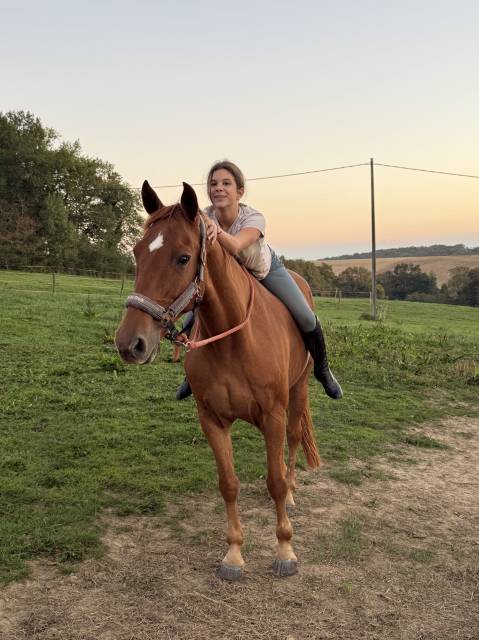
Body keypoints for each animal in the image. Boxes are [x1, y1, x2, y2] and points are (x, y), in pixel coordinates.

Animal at [115, 181, 320, 580]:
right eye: (136, 253)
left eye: (182, 258)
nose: (130, 343)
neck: (233, 340)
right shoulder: (210, 419)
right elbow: (228, 484)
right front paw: (234, 554)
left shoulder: (273, 416)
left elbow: (274, 482)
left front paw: (285, 550)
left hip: (297, 391)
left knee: (291, 445)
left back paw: (291, 492)